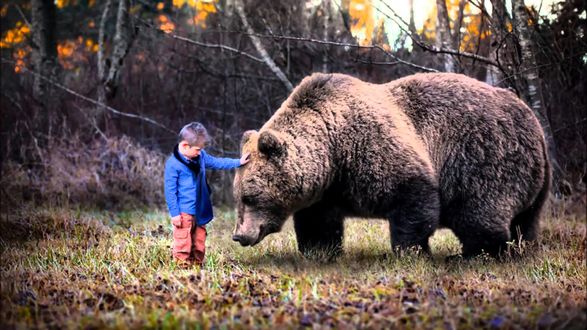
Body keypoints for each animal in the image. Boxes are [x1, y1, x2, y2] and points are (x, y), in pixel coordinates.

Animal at [231, 73, 552, 258]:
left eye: (250, 196)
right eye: (238, 197)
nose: (239, 235)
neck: (331, 151)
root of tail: (533, 120)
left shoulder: (371, 147)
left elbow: (412, 196)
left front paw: (409, 251)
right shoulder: (326, 190)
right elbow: (318, 224)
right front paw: (319, 251)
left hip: (481, 154)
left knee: (478, 211)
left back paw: (476, 253)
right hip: (535, 177)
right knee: (527, 218)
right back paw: (523, 246)